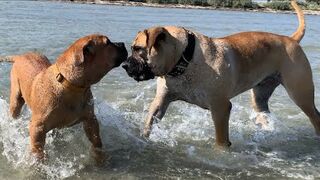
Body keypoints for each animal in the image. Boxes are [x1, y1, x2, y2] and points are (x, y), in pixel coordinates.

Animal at [0, 34, 127, 162]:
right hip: (16, 100)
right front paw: (40, 164)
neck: (71, 87)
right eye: (108, 42)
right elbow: (38, 151)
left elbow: (97, 142)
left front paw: (99, 158)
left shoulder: (90, 120)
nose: (123, 43)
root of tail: (20, 56)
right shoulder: (37, 128)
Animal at [123, 1, 320, 148]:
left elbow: (221, 140)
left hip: (300, 94)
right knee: (264, 114)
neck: (185, 60)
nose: (125, 64)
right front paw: (143, 138)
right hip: (260, 98)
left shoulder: (220, 107)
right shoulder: (161, 101)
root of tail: (291, 39)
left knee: (315, 116)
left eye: (138, 49)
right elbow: (149, 122)